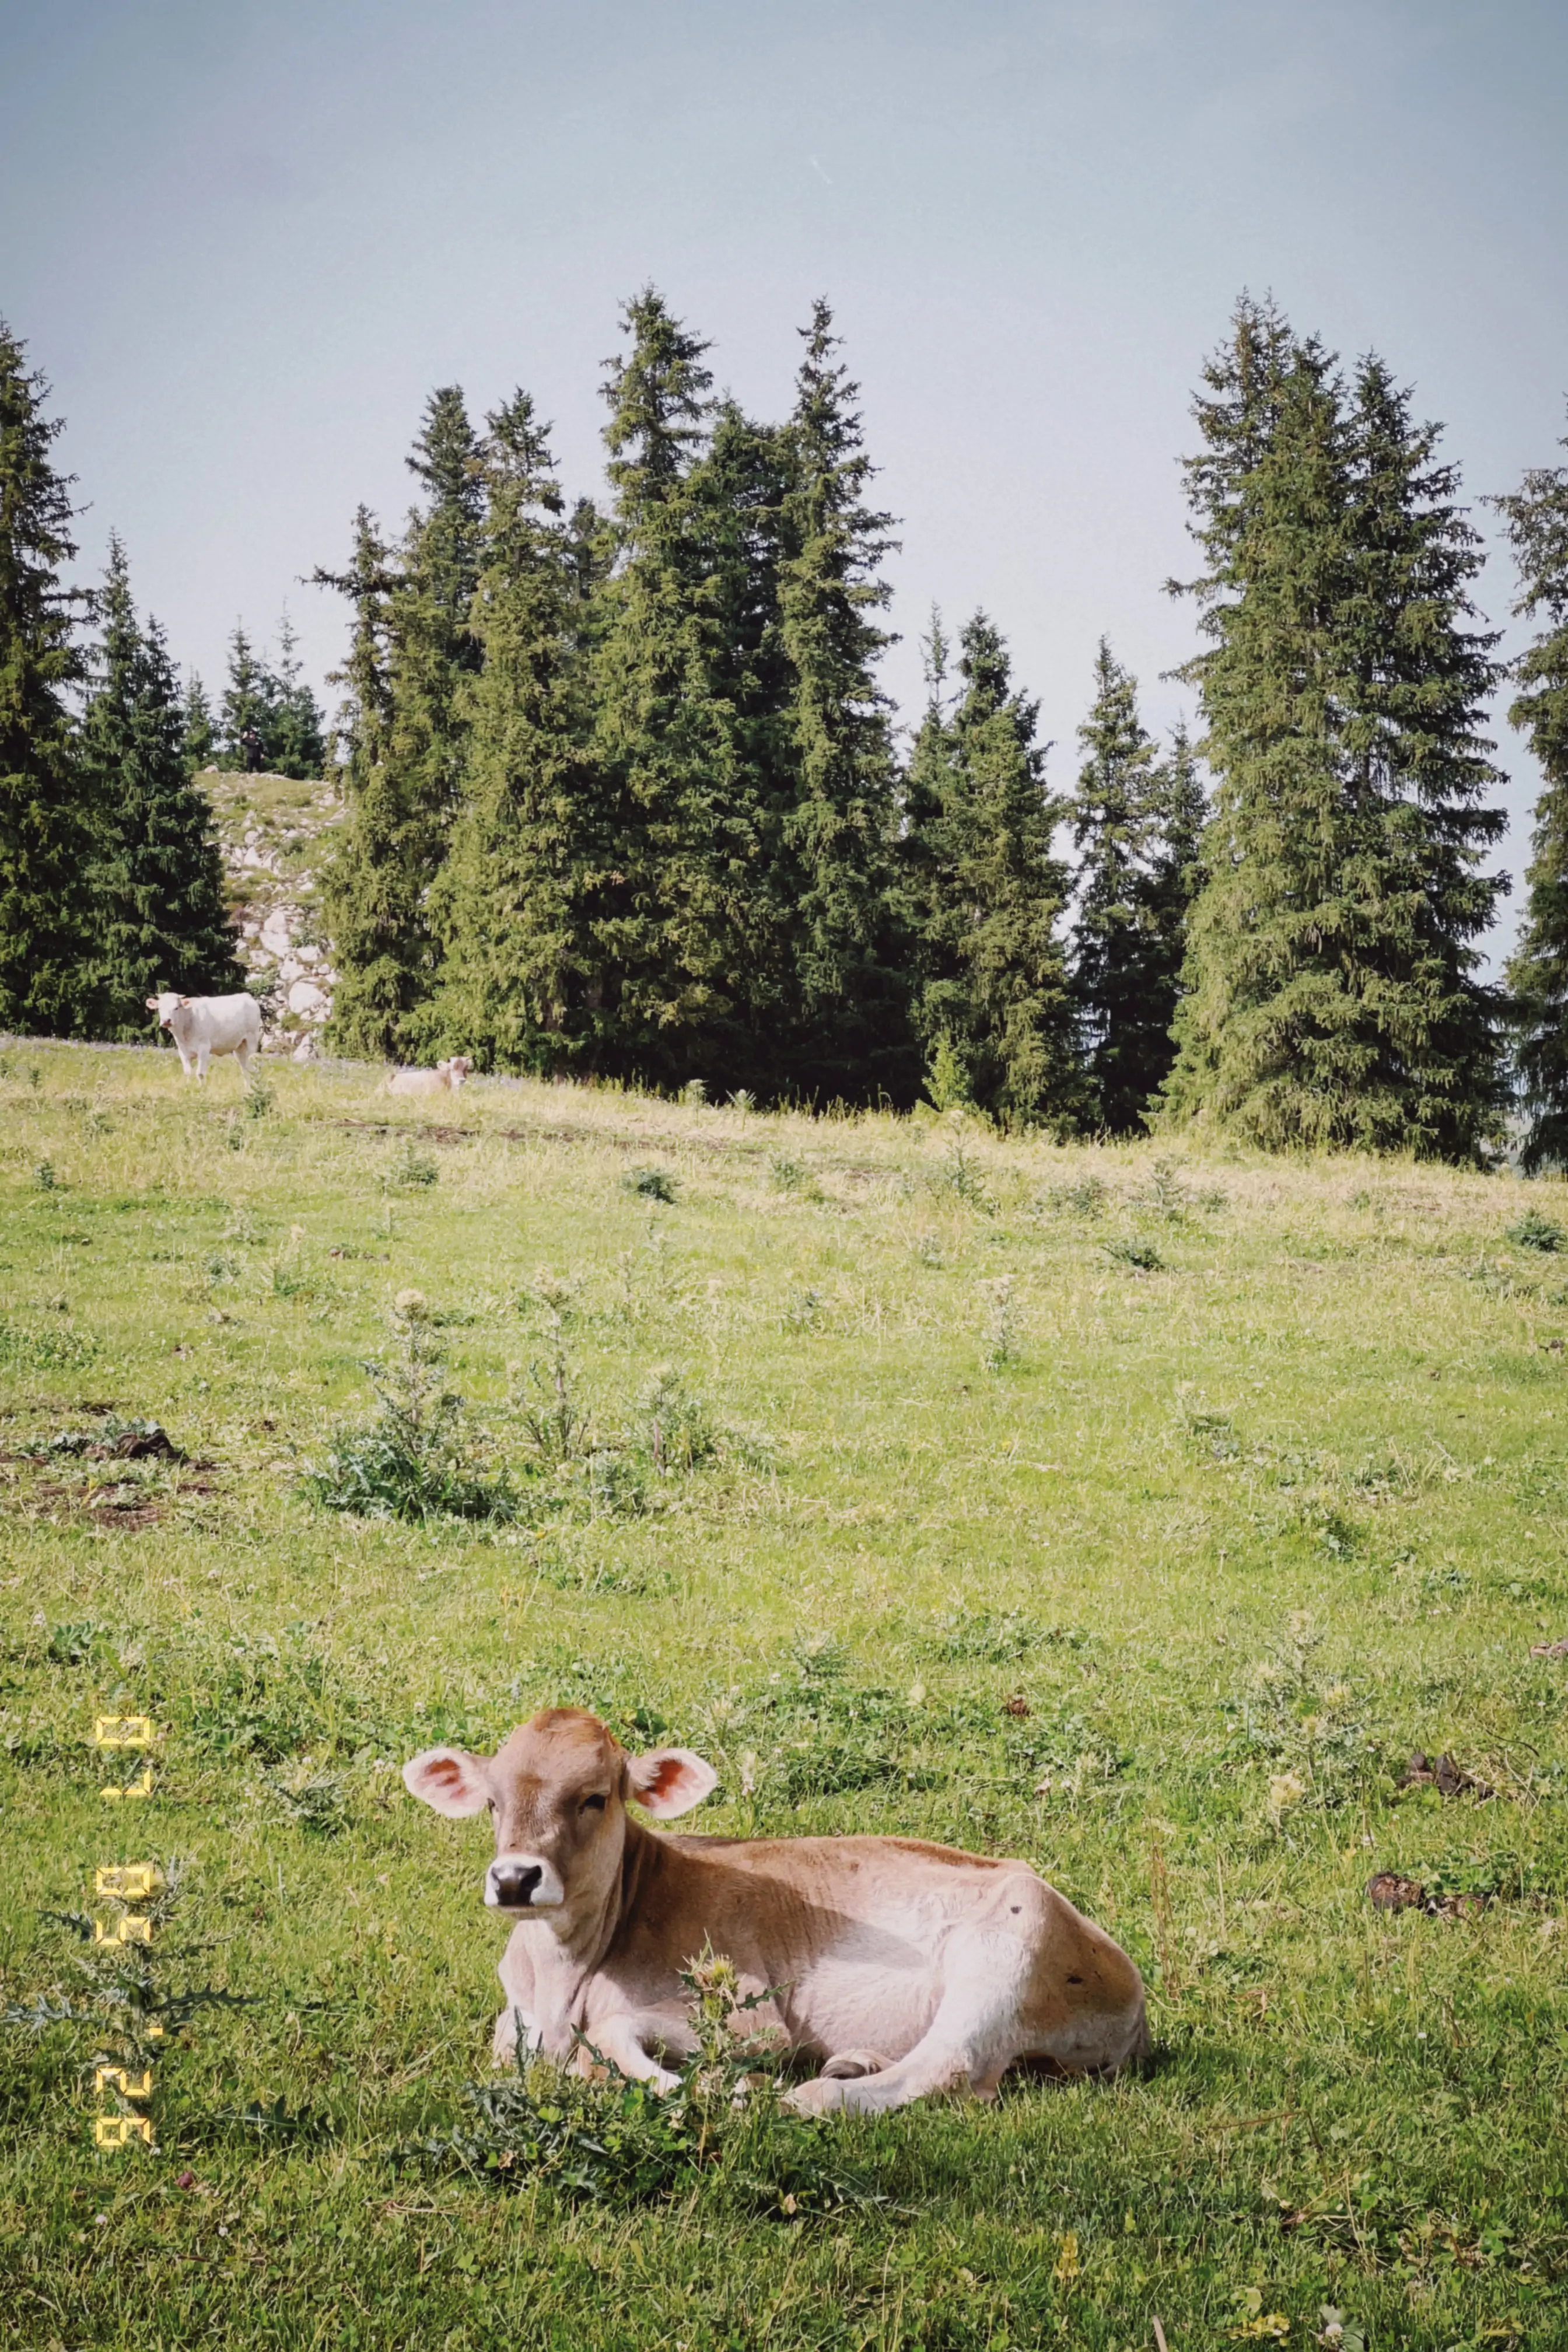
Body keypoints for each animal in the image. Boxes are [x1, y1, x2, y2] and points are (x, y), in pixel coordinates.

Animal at [146, 991, 262, 1084]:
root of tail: (246, 995)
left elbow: (200, 1073)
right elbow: (188, 1073)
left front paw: (202, 1092)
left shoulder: (204, 1048)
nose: (166, 1021)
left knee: (253, 1070)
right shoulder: (183, 1051)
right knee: (245, 1070)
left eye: (176, 1008)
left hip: (251, 1043)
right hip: (239, 1048)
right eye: (160, 1008)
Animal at [403, 1707, 1149, 2117]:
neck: (563, 1979)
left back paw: (801, 2097)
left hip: (1007, 1951)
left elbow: (612, 2038)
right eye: (493, 1802)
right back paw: (850, 2064)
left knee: (949, 2067)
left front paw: (714, 2088)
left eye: (595, 1797)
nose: (515, 1878)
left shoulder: (754, 2017)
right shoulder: (514, 2024)